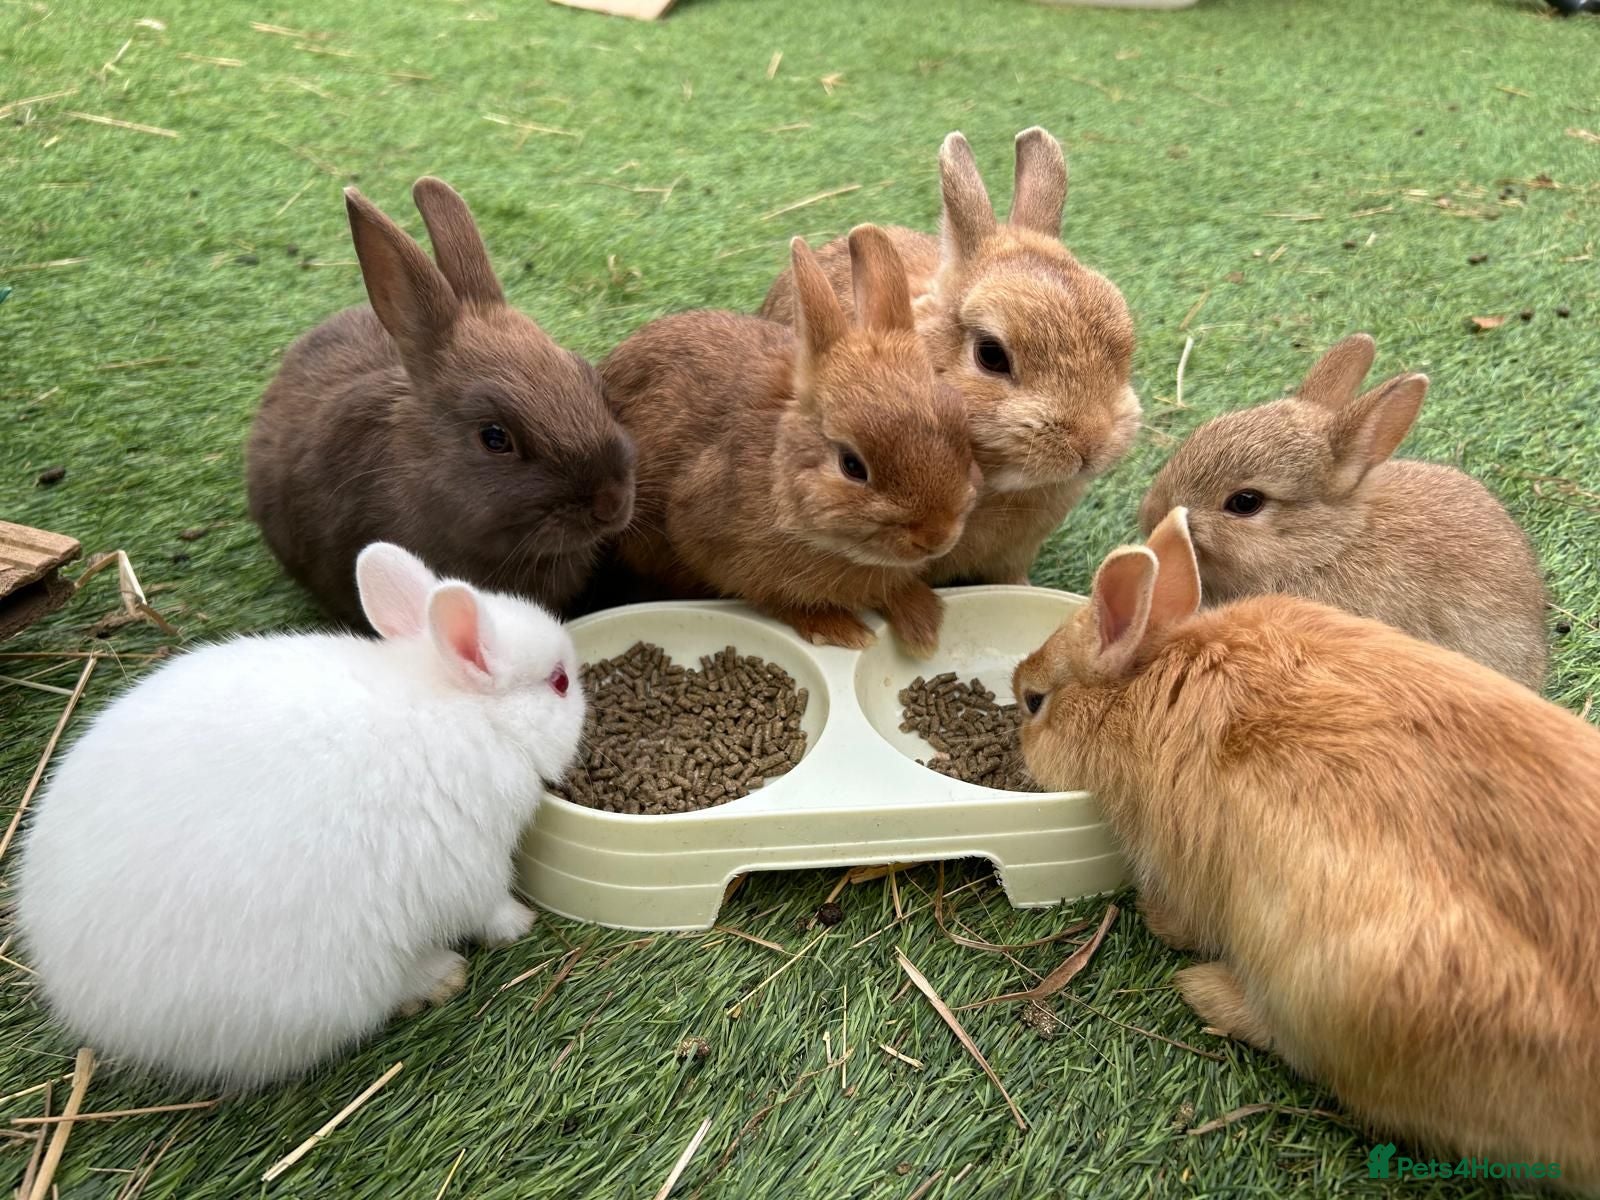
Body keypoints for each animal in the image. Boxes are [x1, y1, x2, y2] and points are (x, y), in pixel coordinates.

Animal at [14, 542, 582, 1087]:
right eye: (559, 682)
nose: (585, 700)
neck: (468, 710)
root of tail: (85, 1004)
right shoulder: (470, 864)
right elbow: (487, 907)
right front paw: (520, 923)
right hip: (331, 986)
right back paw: (439, 977)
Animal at [601, 225, 981, 653]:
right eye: (852, 466)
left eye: (958, 422)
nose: (937, 536)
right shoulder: (712, 543)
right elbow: (772, 596)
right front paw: (841, 629)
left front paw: (922, 622)